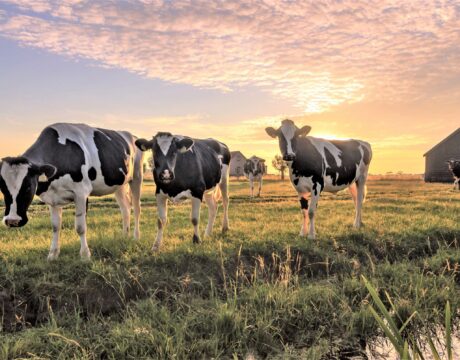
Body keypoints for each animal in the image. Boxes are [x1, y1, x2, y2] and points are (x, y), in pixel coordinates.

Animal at [0, 124, 144, 258]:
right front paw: (53, 254)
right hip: (119, 184)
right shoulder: (52, 198)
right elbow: (55, 226)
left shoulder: (81, 193)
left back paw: (136, 237)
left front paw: (85, 255)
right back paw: (124, 236)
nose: (12, 221)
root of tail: (131, 135)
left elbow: (80, 227)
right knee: (125, 209)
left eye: (28, 186)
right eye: (2, 188)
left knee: (136, 208)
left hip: (137, 176)